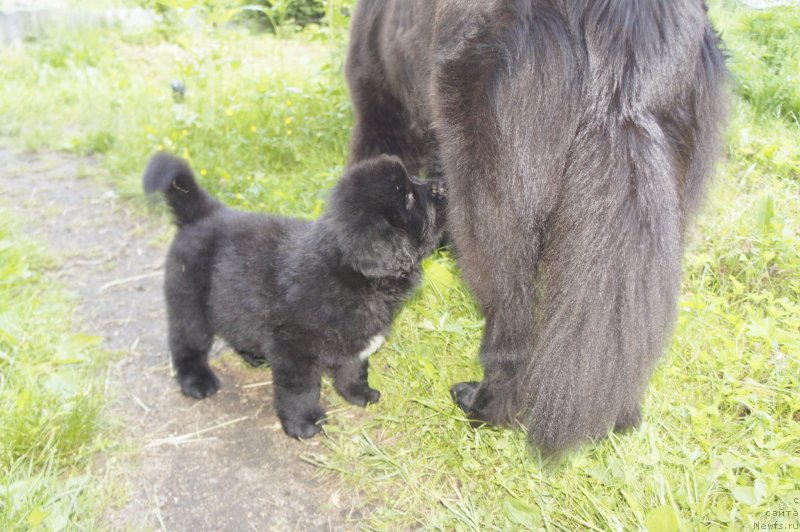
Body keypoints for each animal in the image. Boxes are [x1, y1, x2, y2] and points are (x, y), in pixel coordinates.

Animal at [144, 152, 444, 438]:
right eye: (408, 197)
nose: (441, 185)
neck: (348, 274)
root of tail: (202, 214)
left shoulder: (354, 341)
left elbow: (353, 370)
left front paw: (359, 394)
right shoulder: (295, 349)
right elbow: (301, 391)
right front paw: (304, 423)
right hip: (189, 303)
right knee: (187, 344)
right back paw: (196, 381)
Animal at [346, 0, 728, 450]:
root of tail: (623, 25)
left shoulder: (381, 105)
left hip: (493, 204)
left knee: (510, 325)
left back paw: (484, 406)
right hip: (668, 202)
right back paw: (617, 415)